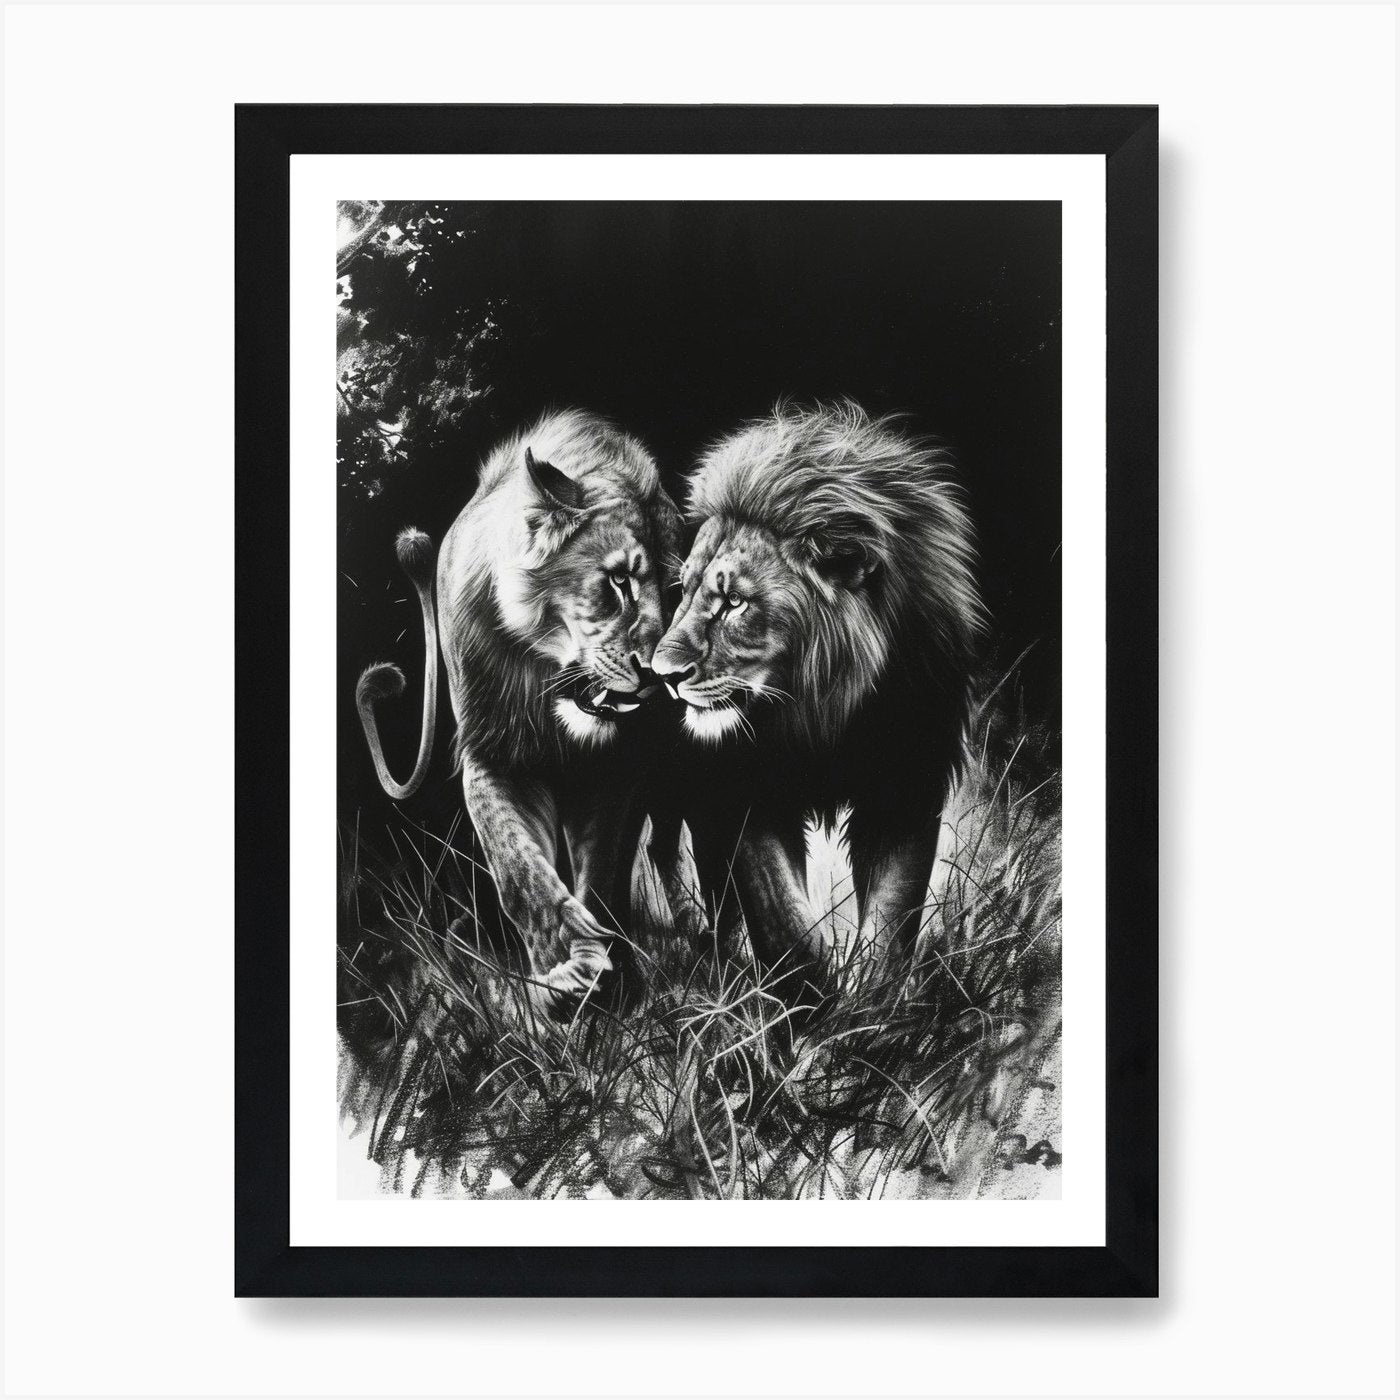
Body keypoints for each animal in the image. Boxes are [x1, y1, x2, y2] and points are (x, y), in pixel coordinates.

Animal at [356, 409, 686, 1012]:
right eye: (618, 579)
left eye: (678, 592)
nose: (656, 675)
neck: (545, 681)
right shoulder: (492, 754)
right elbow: (517, 867)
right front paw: (567, 970)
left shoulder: (615, 766)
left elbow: (603, 867)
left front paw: (607, 979)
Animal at [649, 401, 985, 1001]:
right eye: (682, 591)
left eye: (734, 601)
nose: (662, 674)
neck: (822, 712)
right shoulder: (747, 788)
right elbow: (783, 919)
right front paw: (812, 1004)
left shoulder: (905, 790)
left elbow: (891, 919)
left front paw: (872, 1010)